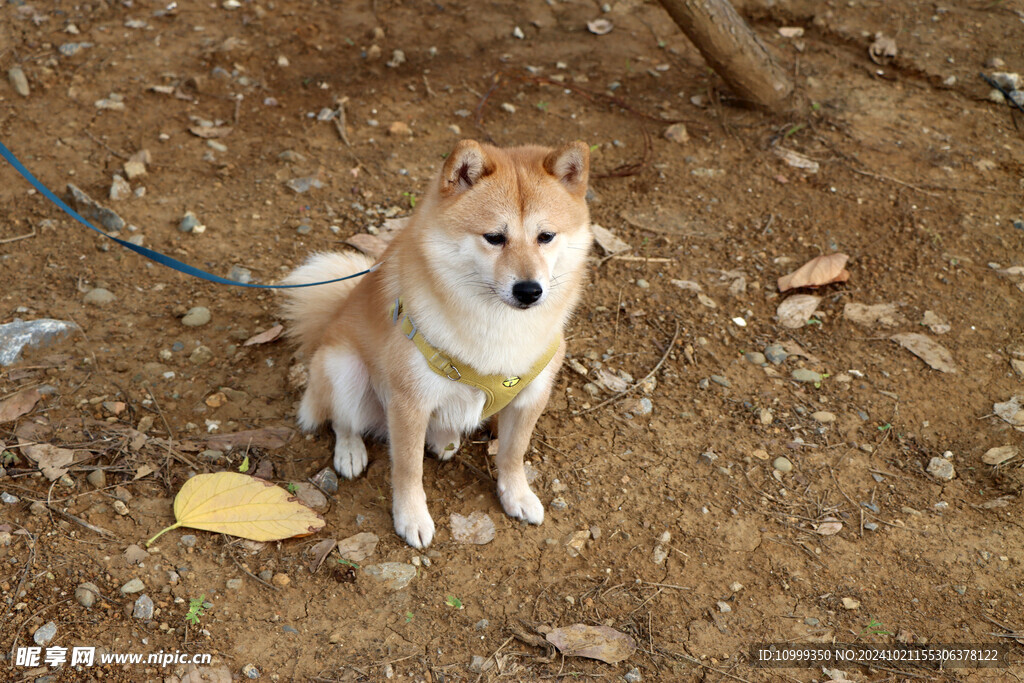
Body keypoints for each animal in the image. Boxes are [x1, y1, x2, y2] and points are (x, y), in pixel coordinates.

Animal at [280, 139, 593, 548]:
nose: (529, 291)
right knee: (342, 419)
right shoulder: (410, 403)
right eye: (494, 237)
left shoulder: (530, 396)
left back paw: (446, 437)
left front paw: (517, 495)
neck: (498, 328)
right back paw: (350, 451)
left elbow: (513, 454)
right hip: (344, 368)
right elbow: (407, 468)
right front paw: (411, 516)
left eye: (546, 236)